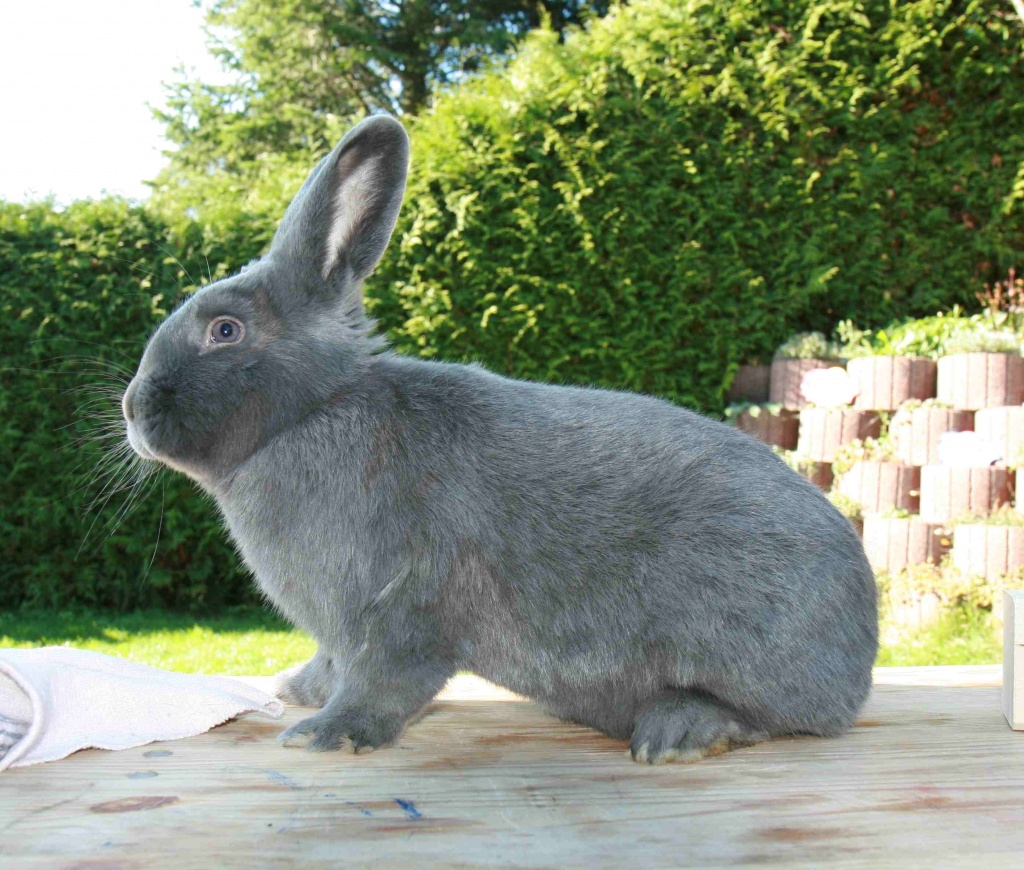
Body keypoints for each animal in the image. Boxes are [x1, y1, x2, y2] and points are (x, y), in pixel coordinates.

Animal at [121, 115, 878, 764]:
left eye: (225, 330)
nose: (132, 408)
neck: (314, 410)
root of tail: (861, 655)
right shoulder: (340, 631)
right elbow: (330, 666)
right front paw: (291, 692)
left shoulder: (404, 609)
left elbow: (382, 681)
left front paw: (325, 735)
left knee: (769, 718)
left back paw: (678, 731)